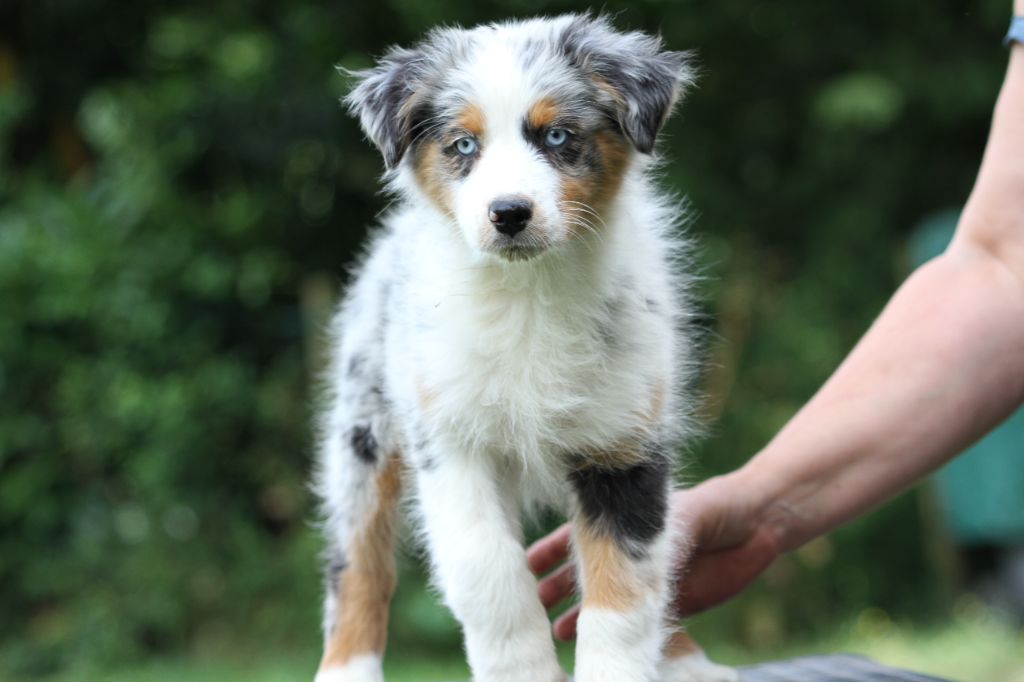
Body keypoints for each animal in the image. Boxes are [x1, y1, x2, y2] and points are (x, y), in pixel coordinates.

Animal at [315, 11, 741, 679]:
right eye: (463, 146)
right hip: (364, 430)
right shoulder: (449, 439)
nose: (509, 213)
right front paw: (522, 667)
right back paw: (346, 667)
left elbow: (624, 593)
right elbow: (486, 571)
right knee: (356, 562)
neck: (528, 293)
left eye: (558, 136)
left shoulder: (625, 446)